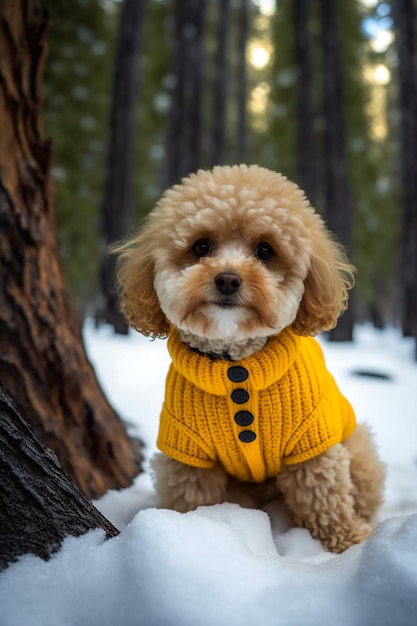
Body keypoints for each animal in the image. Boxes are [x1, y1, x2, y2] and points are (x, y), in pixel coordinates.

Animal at [113, 165, 384, 552]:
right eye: (201, 246)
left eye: (265, 250)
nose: (228, 279)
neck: (237, 364)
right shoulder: (187, 456)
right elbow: (190, 501)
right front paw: (185, 534)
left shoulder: (312, 444)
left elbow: (325, 498)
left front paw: (347, 543)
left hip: (360, 451)